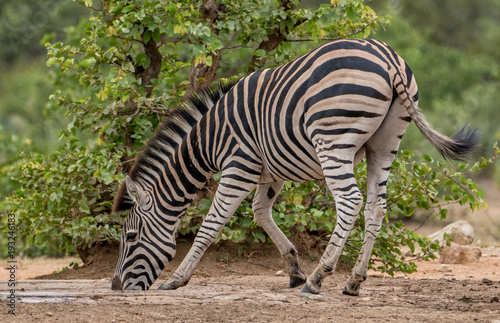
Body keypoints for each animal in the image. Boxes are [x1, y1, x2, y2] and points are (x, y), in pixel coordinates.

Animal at [111, 38, 478, 296]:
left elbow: (212, 224)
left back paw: (317, 279)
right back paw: (353, 281)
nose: (115, 287)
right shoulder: (271, 171)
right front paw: (293, 268)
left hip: (332, 140)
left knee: (350, 202)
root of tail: (388, 59)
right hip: (384, 144)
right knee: (376, 206)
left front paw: (177, 279)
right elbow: (260, 213)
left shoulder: (239, 165)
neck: (209, 139)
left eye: (130, 236)